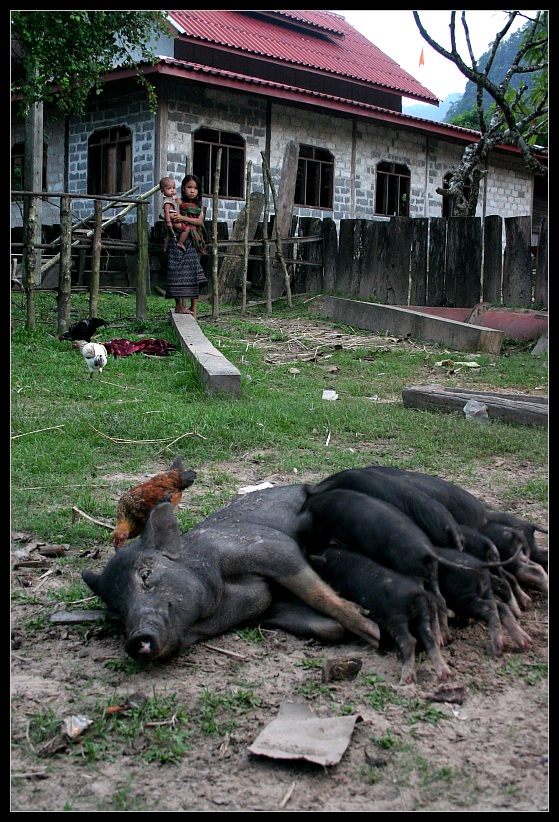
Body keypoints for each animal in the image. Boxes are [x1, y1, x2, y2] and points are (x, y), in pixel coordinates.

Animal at [82, 482, 380, 668]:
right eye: (117, 610)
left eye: (145, 575)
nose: (135, 639)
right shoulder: (269, 608)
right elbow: (328, 628)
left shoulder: (270, 547)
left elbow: (314, 592)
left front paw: (372, 631)